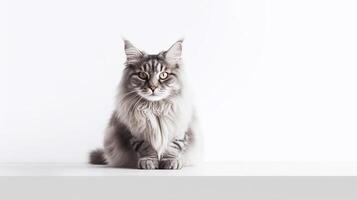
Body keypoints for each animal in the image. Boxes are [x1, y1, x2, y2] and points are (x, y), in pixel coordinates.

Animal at [88, 39, 200, 170]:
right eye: (142, 75)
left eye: (163, 75)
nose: (153, 87)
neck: (156, 107)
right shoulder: (137, 132)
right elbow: (146, 149)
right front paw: (148, 162)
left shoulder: (178, 128)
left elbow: (173, 148)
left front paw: (171, 161)